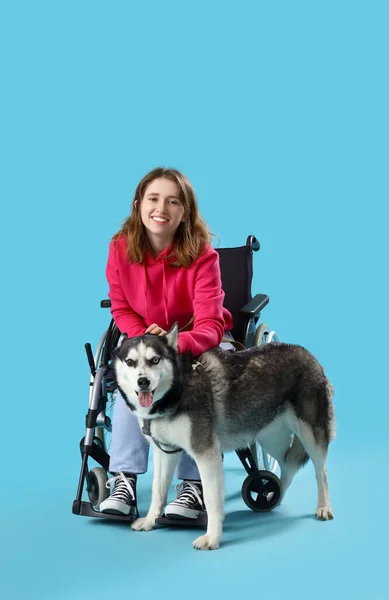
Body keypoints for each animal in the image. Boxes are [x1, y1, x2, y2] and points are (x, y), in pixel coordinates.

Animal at [112, 326, 334, 552]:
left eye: (155, 360)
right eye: (130, 362)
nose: (143, 382)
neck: (177, 390)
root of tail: (307, 353)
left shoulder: (206, 453)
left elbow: (211, 498)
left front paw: (212, 537)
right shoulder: (164, 451)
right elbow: (158, 490)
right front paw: (150, 521)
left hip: (310, 434)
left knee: (321, 472)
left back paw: (323, 507)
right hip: (269, 437)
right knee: (288, 464)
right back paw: (275, 495)